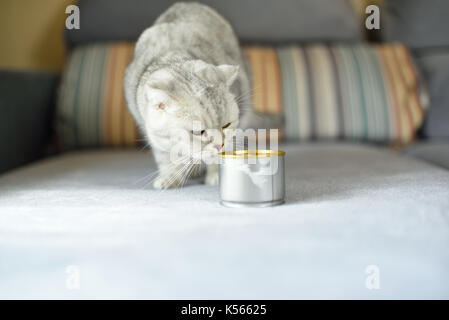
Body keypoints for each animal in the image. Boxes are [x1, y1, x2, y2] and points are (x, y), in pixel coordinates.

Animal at [124, 1, 252, 189]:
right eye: (198, 132)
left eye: (227, 125)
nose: (219, 144)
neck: (172, 56)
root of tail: (189, 3)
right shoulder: (155, 137)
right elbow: (166, 157)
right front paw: (170, 176)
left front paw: (216, 176)